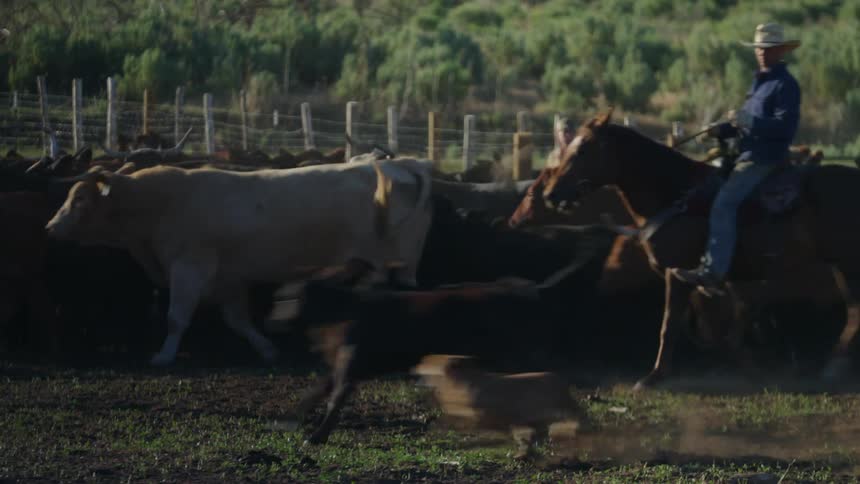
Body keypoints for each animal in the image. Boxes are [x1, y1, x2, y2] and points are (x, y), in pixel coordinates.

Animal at [45, 159, 434, 366]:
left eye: (79, 200)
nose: (49, 227)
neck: (162, 202)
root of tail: (395, 163)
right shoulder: (228, 279)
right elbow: (239, 320)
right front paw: (268, 349)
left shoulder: (190, 267)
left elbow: (176, 317)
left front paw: (164, 356)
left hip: (377, 262)